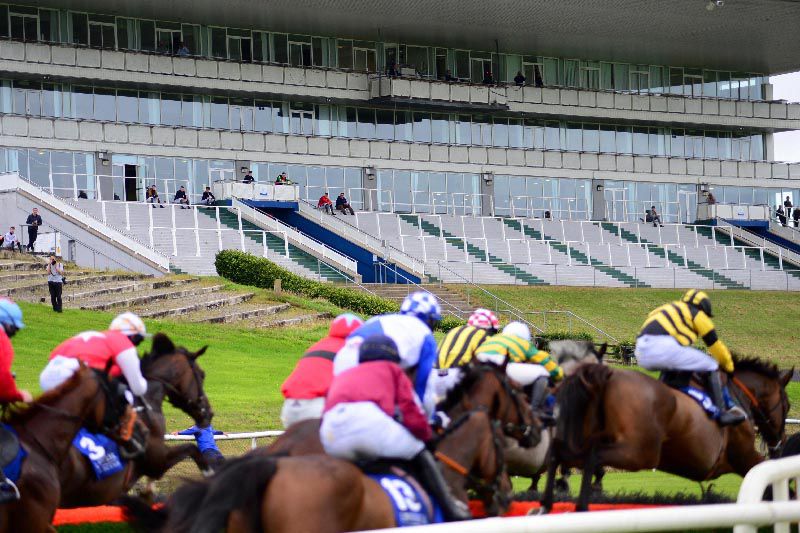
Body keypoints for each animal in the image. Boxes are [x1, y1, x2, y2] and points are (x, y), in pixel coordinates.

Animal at [540, 358, 792, 512]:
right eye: (787, 405)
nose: (779, 444)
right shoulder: (743, 456)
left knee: (561, 455)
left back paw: (548, 502)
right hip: (639, 453)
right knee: (590, 459)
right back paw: (579, 503)